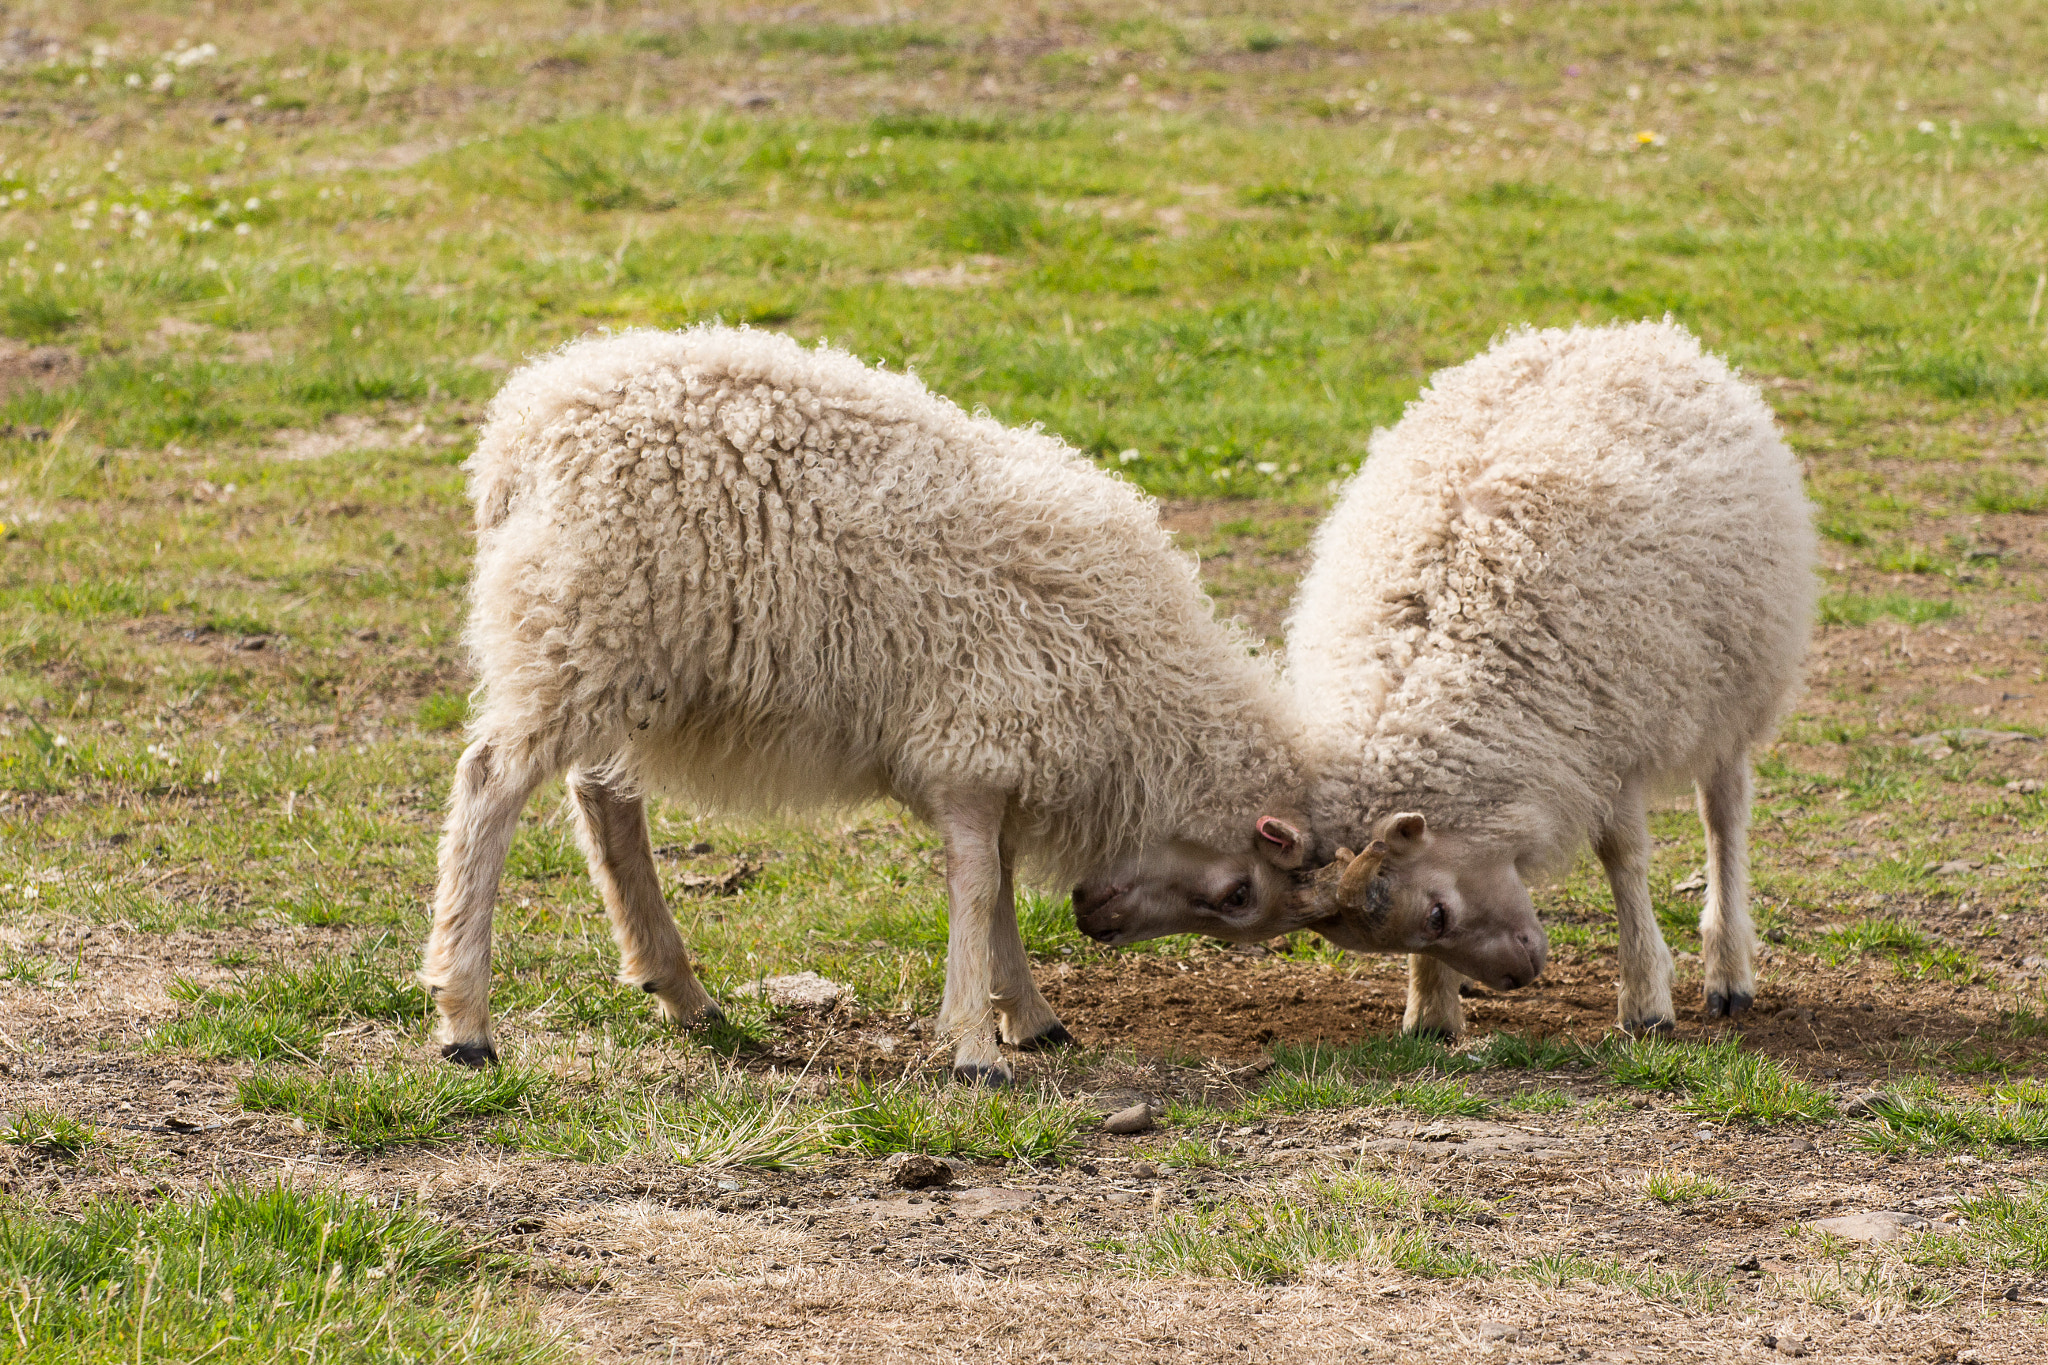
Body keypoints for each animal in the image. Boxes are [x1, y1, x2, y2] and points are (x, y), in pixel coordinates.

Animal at [417, 325, 1310, 1080]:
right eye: (1241, 894)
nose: (1092, 918)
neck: (1135, 689)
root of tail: (520, 432)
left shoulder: (989, 757)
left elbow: (997, 887)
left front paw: (1025, 1011)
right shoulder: (977, 733)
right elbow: (979, 885)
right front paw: (976, 1046)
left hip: (621, 655)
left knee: (603, 796)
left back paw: (680, 989)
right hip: (574, 625)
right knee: (489, 782)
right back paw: (466, 1019)